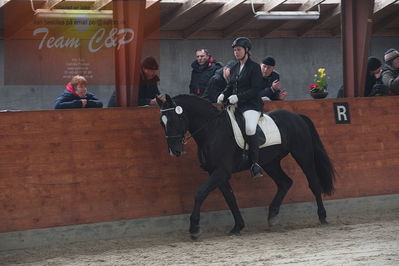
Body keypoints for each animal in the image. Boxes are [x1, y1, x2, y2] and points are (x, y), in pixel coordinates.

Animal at [158, 94, 336, 239]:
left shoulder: (221, 171)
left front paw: (194, 228)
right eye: (162, 122)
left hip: (302, 155)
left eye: (175, 119)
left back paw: (322, 217)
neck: (212, 130)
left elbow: (200, 193)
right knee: (285, 182)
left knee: (313, 183)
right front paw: (238, 226)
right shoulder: (216, 173)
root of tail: (297, 116)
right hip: (270, 163)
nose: (175, 151)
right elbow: (230, 198)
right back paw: (272, 216)